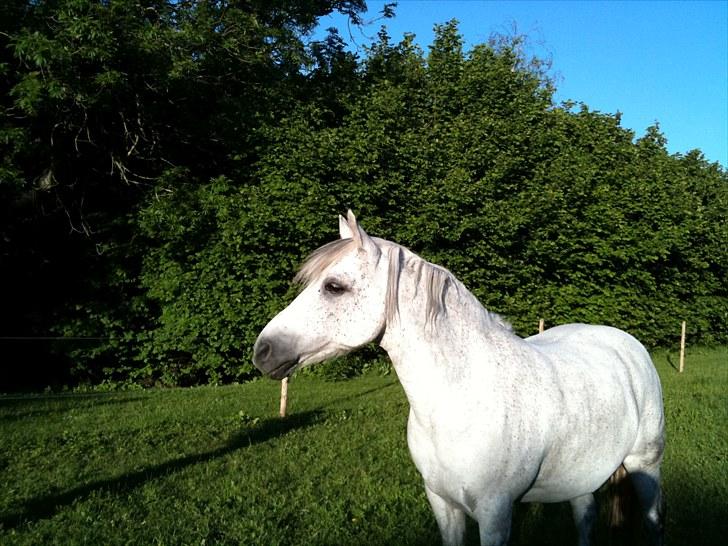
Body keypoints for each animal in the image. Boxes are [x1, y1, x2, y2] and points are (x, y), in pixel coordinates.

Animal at [255, 210, 664, 540]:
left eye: (334, 286)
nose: (263, 351)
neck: (462, 399)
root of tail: (628, 344)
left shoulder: (495, 514)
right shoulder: (443, 504)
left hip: (645, 466)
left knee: (654, 523)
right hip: (579, 478)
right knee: (585, 520)